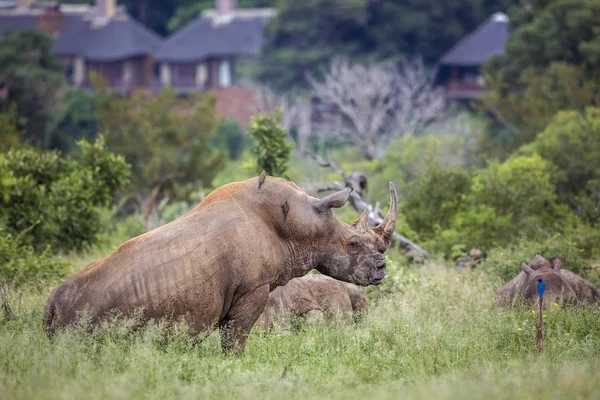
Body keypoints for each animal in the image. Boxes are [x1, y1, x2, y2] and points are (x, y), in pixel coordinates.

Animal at [45, 173, 398, 352]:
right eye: (352, 243)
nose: (382, 269)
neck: (300, 222)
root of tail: (50, 306)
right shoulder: (253, 288)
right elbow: (236, 338)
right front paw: (236, 366)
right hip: (89, 310)